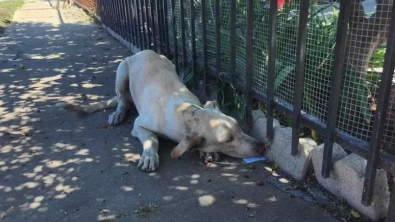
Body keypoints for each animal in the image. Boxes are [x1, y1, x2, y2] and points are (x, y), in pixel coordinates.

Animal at [56, 49, 266, 172]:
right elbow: (152, 138)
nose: (261, 146)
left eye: (239, 127)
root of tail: (142, 51)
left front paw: (206, 153)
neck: (186, 113)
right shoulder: (138, 125)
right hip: (122, 71)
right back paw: (119, 112)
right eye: (227, 140)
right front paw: (150, 155)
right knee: (122, 100)